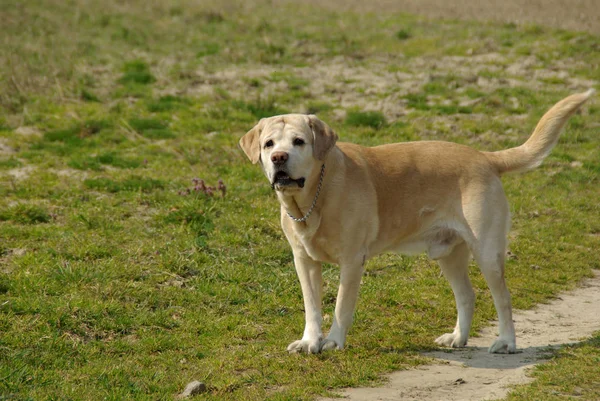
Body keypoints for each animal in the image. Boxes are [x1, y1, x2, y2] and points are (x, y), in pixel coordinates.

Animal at [240, 90, 596, 354]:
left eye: (299, 142)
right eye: (269, 144)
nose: (279, 158)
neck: (314, 197)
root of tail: (484, 157)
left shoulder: (352, 261)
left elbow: (341, 306)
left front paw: (334, 341)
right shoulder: (304, 261)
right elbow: (312, 306)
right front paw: (309, 341)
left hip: (488, 253)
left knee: (503, 298)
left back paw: (507, 342)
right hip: (449, 255)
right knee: (467, 296)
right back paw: (457, 338)